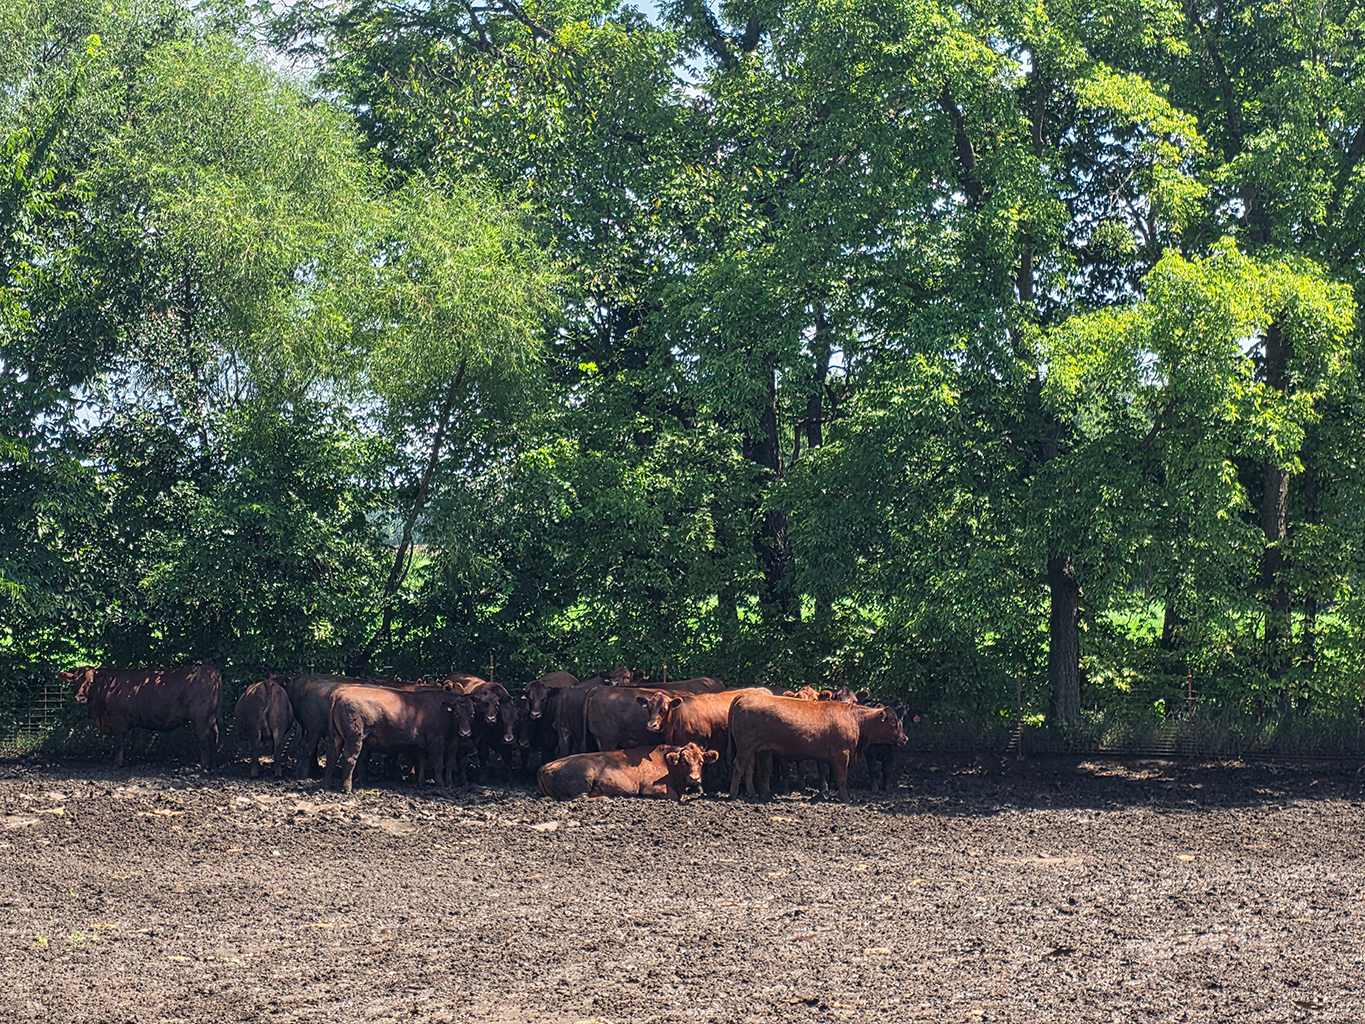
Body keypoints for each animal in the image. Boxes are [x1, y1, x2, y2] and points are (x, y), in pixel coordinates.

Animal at [65, 665, 222, 769]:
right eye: (74, 681)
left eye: (90, 682)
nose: (79, 697)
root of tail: (212, 671)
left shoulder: (118, 721)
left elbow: (119, 743)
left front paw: (117, 764)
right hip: (211, 717)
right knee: (214, 735)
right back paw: (213, 764)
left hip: (200, 717)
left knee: (204, 738)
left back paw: (204, 766)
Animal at [325, 686, 474, 795]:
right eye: (457, 714)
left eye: (472, 714)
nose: (465, 733)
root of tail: (341, 691)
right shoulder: (437, 743)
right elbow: (438, 763)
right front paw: (441, 784)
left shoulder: (449, 744)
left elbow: (441, 763)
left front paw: (432, 782)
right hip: (354, 737)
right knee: (349, 759)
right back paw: (346, 788)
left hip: (337, 737)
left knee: (332, 756)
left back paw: (326, 783)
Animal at [537, 743, 718, 802]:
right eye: (684, 761)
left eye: (701, 762)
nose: (694, 778)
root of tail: (544, 766)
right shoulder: (651, 788)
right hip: (584, 777)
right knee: (581, 797)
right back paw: (605, 798)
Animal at [728, 692, 905, 801]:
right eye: (893, 722)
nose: (905, 738)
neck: (854, 719)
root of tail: (745, 695)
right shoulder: (842, 754)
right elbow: (842, 778)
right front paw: (845, 798)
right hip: (745, 747)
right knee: (737, 767)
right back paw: (733, 794)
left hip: (752, 749)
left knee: (748, 768)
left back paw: (751, 793)